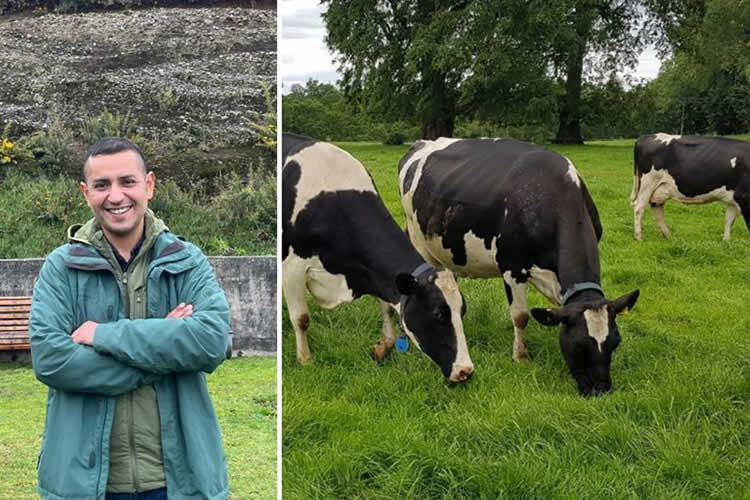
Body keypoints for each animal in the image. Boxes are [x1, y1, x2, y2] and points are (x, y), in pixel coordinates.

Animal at [282, 133, 476, 382]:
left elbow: (388, 309)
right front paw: (305, 361)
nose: (465, 371)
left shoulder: (376, 275)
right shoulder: (292, 267)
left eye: (462, 311)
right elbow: (302, 319)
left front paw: (382, 349)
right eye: (438, 314)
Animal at [400, 137, 640, 394]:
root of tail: (423, 142)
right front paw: (521, 356)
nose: (600, 390)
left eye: (615, 342)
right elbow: (521, 316)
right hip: (417, 239)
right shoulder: (511, 268)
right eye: (578, 346)